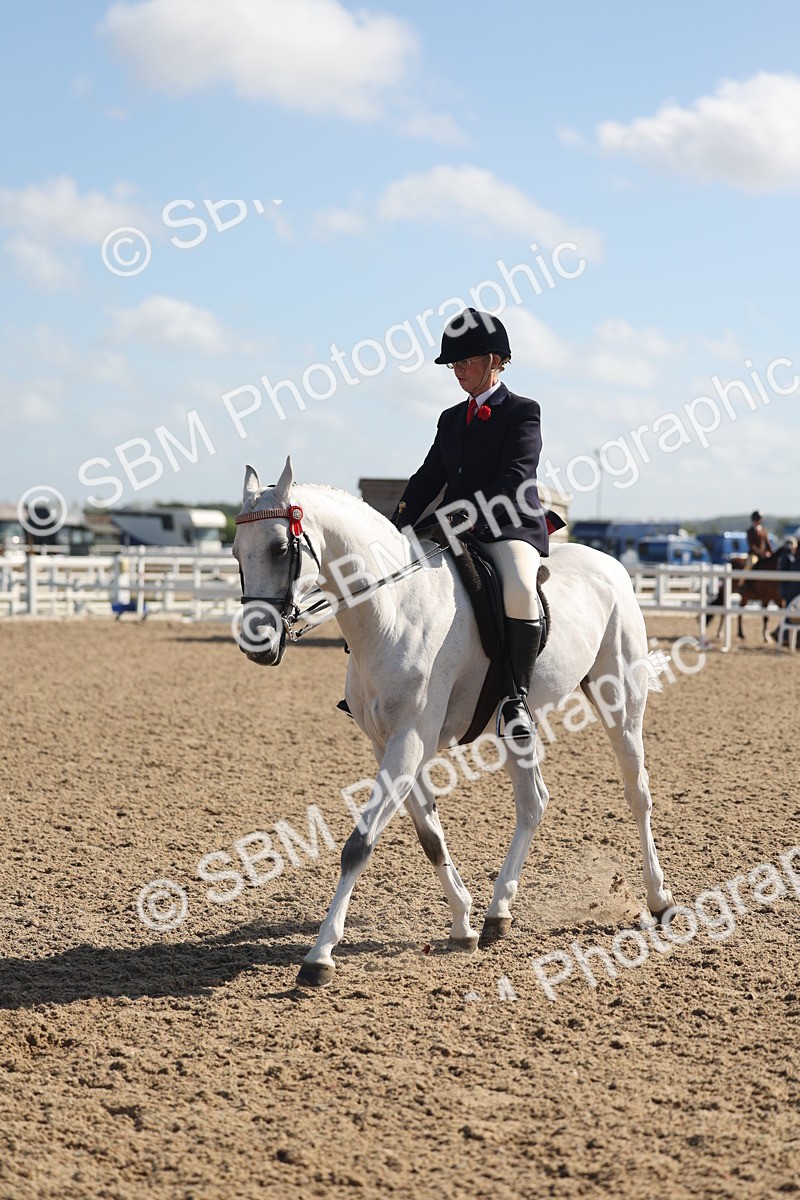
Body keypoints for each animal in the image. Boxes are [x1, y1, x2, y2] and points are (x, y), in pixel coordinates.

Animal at [233, 458, 675, 988]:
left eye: (280, 548)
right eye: (236, 551)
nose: (257, 644)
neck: (393, 610)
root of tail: (612, 566)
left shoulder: (408, 742)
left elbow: (359, 844)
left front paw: (319, 956)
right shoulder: (391, 744)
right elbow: (429, 836)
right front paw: (463, 923)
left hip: (621, 703)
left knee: (637, 793)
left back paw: (659, 899)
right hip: (516, 726)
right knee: (533, 803)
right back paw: (497, 913)